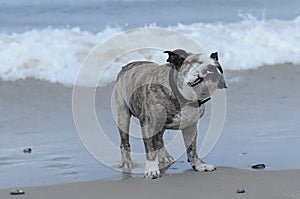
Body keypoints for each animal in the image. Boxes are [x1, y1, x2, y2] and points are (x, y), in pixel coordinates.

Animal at [113, 48, 226, 179]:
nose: (212, 67)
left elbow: (192, 148)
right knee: (125, 141)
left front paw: (198, 165)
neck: (186, 97)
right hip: (123, 115)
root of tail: (126, 66)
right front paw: (151, 169)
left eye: (219, 67)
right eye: (197, 62)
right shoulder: (148, 125)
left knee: (159, 138)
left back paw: (164, 156)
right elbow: (150, 149)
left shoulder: (190, 126)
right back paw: (127, 163)